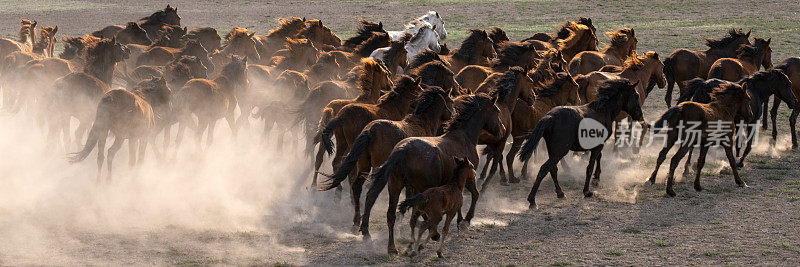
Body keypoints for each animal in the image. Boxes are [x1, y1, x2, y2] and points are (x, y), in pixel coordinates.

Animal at [360, 93, 504, 254]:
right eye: (497, 111)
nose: (502, 131)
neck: (464, 137)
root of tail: (402, 150)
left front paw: (460, 220)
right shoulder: (468, 178)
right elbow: (475, 194)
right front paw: (465, 221)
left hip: (395, 186)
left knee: (392, 214)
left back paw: (392, 247)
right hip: (422, 188)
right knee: (421, 213)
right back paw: (429, 236)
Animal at [520, 79, 644, 209]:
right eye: (636, 96)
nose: (639, 115)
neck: (603, 111)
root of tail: (550, 117)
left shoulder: (596, 144)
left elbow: (598, 158)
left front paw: (596, 178)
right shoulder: (598, 145)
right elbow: (590, 166)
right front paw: (587, 191)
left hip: (552, 150)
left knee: (553, 169)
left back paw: (560, 193)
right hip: (560, 151)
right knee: (544, 169)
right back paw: (532, 200)